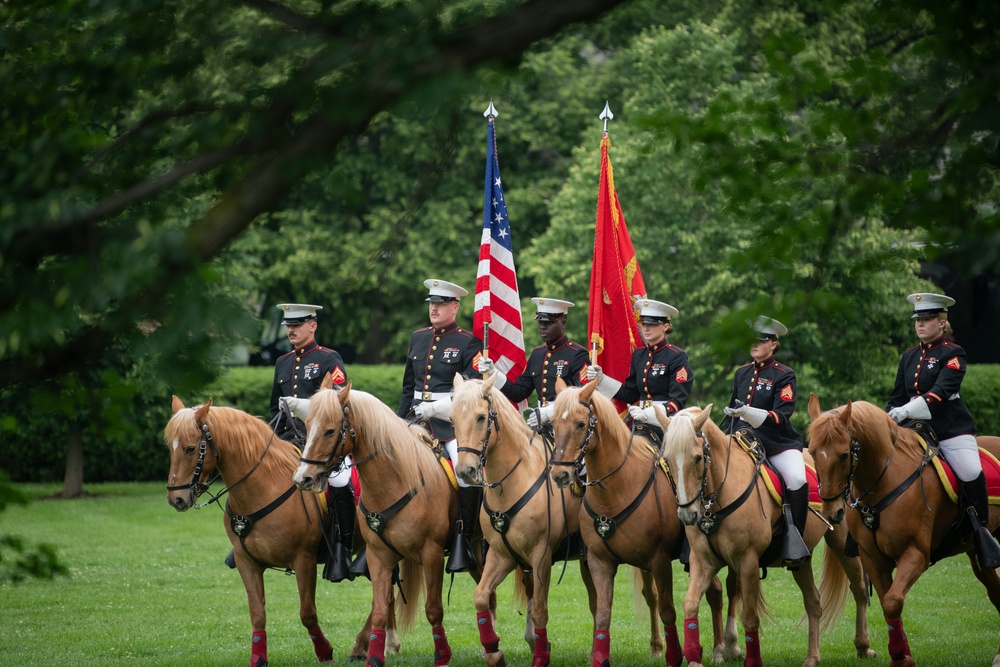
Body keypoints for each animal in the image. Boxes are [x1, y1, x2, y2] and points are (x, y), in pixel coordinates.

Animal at [165, 400, 364, 664]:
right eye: (170, 447)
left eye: (190, 449)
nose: (176, 499)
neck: (265, 486)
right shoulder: (246, 562)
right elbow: (257, 613)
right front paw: (258, 658)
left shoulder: (304, 560)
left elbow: (307, 613)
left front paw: (325, 652)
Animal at [292, 380, 482, 667]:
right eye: (307, 424)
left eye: (329, 430)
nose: (303, 478)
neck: (398, 480)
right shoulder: (378, 555)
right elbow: (380, 608)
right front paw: (373, 655)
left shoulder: (432, 554)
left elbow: (433, 609)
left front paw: (442, 655)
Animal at [548, 380, 744, 667]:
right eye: (552, 423)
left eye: (581, 424)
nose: (559, 474)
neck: (617, 490)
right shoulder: (599, 562)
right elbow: (603, 613)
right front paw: (599, 658)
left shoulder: (660, 560)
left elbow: (668, 609)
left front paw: (675, 655)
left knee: (717, 592)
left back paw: (722, 647)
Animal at [652, 404, 872, 664]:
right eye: (667, 459)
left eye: (697, 458)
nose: (688, 515)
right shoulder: (703, 561)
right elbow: (690, 604)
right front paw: (695, 656)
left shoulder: (747, 561)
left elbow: (749, 616)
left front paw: (749, 658)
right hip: (802, 560)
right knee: (814, 602)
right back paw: (812, 656)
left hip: (841, 543)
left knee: (859, 589)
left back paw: (863, 645)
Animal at [804, 394, 1000, 667]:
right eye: (812, 452)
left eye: (843, 455)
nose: (833, 513)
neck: (884, 482)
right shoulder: (873, 559)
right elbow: (888, 603)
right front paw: (902, 655)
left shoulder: (915, 554)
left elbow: (892, 602)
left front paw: (900, 656)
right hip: (978, 555)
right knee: (995, 591)